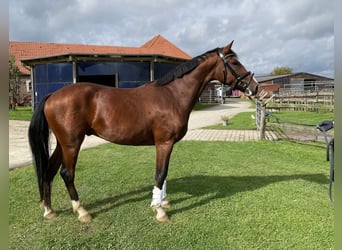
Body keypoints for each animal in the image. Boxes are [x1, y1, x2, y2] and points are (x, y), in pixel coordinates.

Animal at [29, 41, 258, 223]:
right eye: (235, 63)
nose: (254, 87)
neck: (172, 95)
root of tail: (52, 95)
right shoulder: (164, 142)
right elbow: (160, 173)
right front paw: (159, 211)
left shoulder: (166, 144)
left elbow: (164, 174)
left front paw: (163, 202)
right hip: (72, 144)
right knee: (67, 174)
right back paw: (82, 211)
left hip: (63, 144)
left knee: (48, 171)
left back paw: (49, 210)